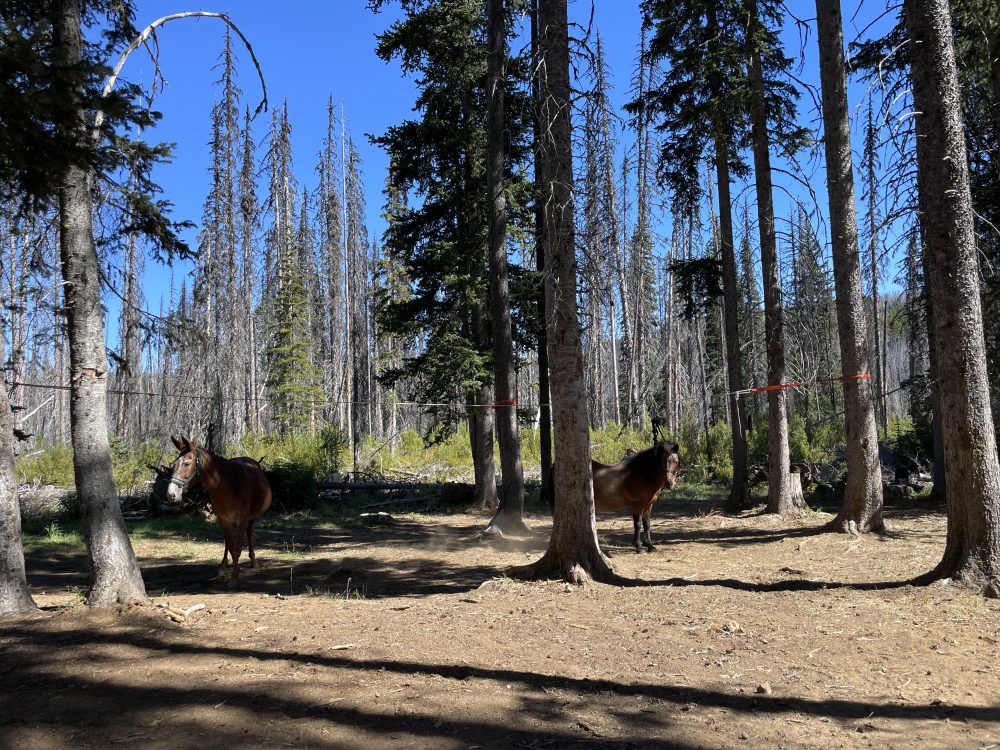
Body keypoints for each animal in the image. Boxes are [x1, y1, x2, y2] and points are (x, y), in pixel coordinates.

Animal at [167, 438, 272, 592]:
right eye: (173, 464)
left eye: (187, 463)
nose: (171, 494)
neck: (227, 484)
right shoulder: (222, 519)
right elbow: (231, 546)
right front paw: (230, 570)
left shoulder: (242, 519)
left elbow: (237, 548)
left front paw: (234, 578)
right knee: (228, 542)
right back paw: (223, 566)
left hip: (252, 517)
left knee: (249, 532)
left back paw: (253, 560)